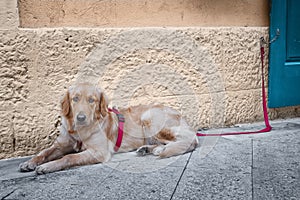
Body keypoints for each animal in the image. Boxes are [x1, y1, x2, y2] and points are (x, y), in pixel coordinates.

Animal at [19, 82, 199, 173]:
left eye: (91, 100)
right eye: (75, 99)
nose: (81, 118)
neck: (78, 131)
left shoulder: (99, 151)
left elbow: (69, 157)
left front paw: (47, 166)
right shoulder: (60, 145)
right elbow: (44, 152)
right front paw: (30, 162)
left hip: (150, 118)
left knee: (190, 141)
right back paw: (149, 149)